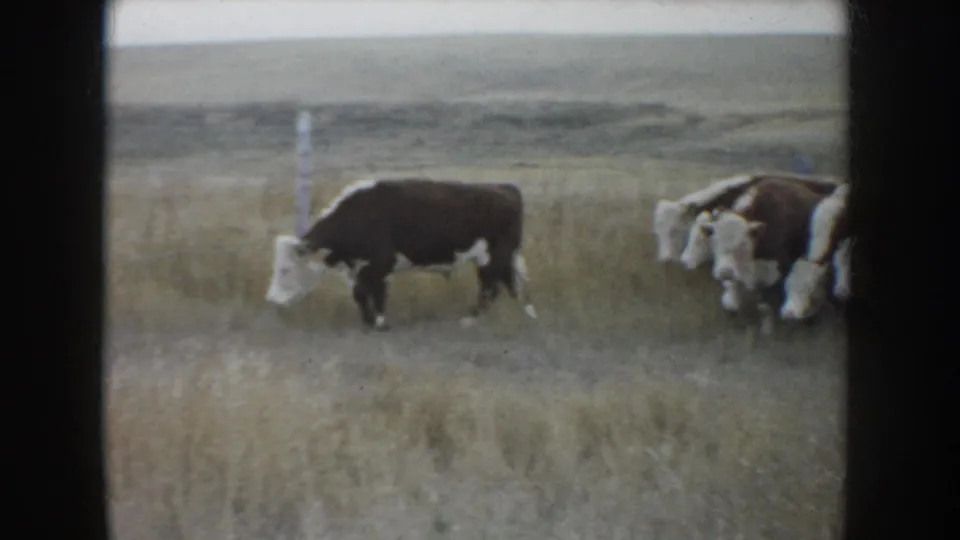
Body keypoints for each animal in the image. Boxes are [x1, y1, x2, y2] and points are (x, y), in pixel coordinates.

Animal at [265, 177, 538, 331]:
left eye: (285, 269)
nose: (272, 300)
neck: (360, 214)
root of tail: (506, 188)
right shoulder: (362, 268)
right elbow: (360, 294)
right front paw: (368, 320)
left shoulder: (380, 264)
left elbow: (372, 293)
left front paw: (379, 322)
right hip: (499, 259)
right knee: (509, 285)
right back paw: (526, 315)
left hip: (492, 257)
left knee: (491, 288)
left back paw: (471, 320)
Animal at [779, 183, 852, 320]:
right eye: (787, 287)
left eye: (810, 289)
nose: (788, 313)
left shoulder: (846, 241)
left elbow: (842, 259)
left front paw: (842, 290)